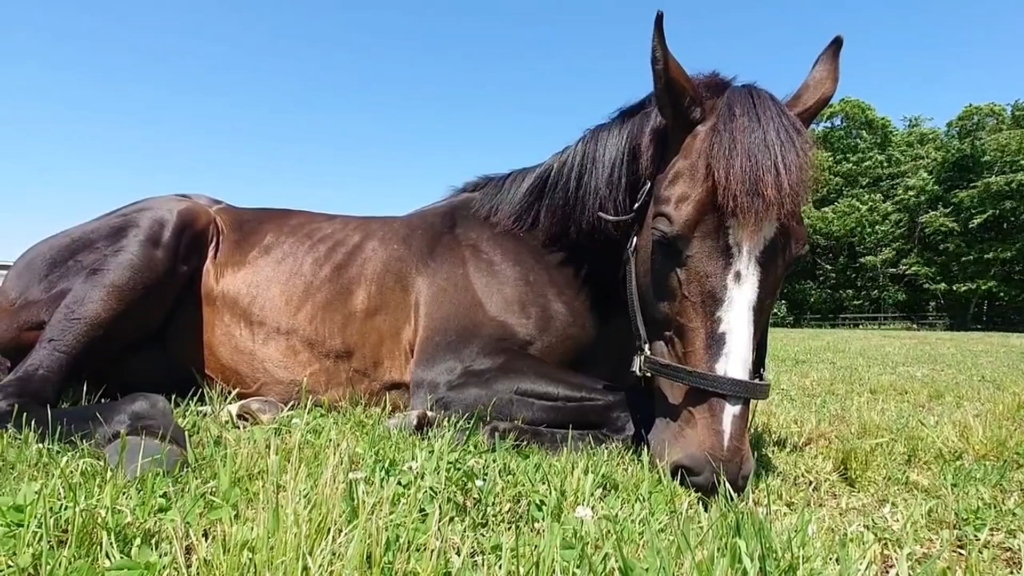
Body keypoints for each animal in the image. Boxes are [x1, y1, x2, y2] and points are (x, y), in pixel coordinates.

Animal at [0, 12, 839, 498]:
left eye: (792, 252)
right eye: (664, 234)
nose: (714, 464)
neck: (540, 252)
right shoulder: (457, 372)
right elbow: (621, 411)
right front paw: (430, 426)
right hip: (158, 235)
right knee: (24, 398)